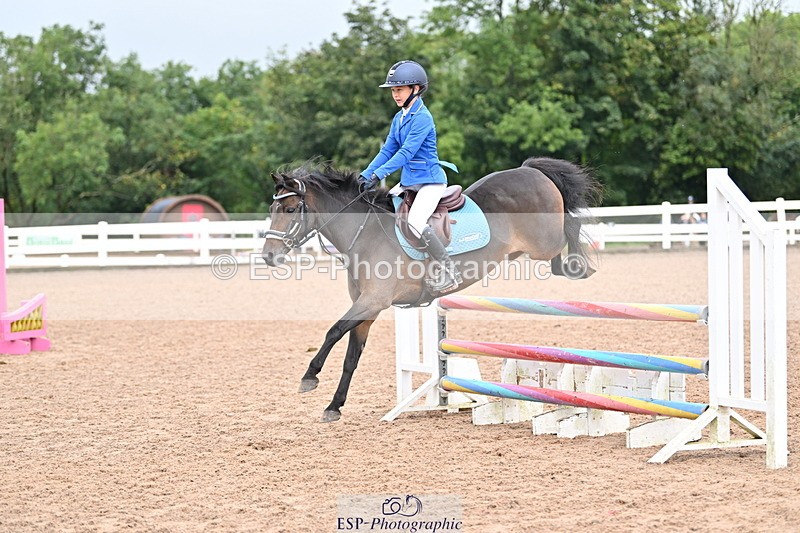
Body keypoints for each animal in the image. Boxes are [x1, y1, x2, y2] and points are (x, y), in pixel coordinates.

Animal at [262, 157, 602, 422]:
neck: (365, 233)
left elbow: (333, 331)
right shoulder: (367, 309)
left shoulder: (373, 301)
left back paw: (581, 265)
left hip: (544, 242)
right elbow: (351, 357)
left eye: (290, 210)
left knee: (570, 230)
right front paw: (334, 406)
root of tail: (530, 170)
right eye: (272, 209)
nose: (268, 256)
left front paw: (309, 377)